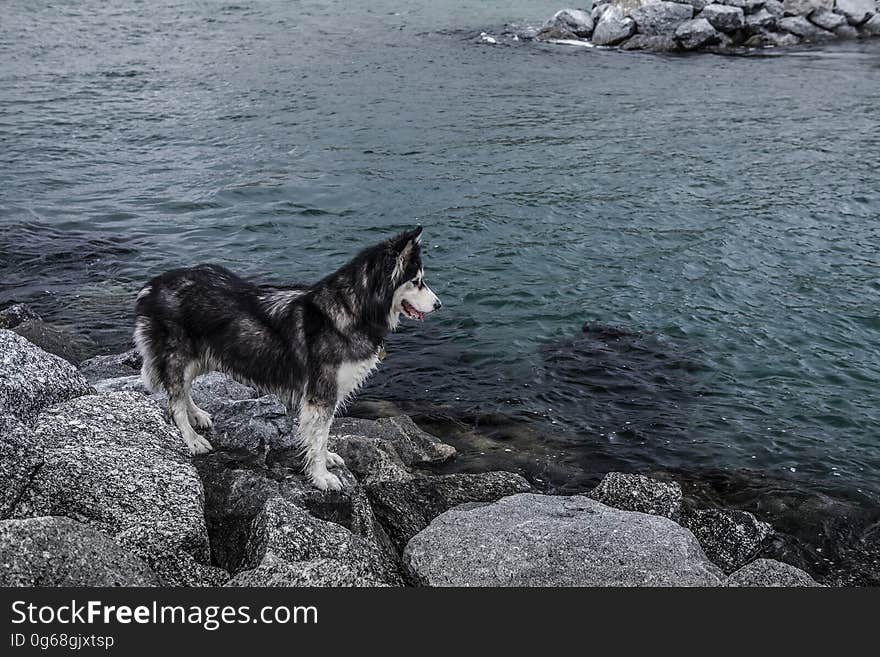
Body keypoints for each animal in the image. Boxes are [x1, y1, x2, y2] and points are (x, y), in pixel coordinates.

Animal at [132, 226, 440, 486]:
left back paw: (197, 414)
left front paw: (325, 461)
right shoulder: (321, 394)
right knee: (175, 402)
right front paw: (321, 477)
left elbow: (321, 436)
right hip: (179, 356)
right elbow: (319, 437)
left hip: (201, 357)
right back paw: (191, 437)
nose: (439, 305)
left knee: (183, 391)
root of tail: (153, 285)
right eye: (417, 282)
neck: (354, 309)